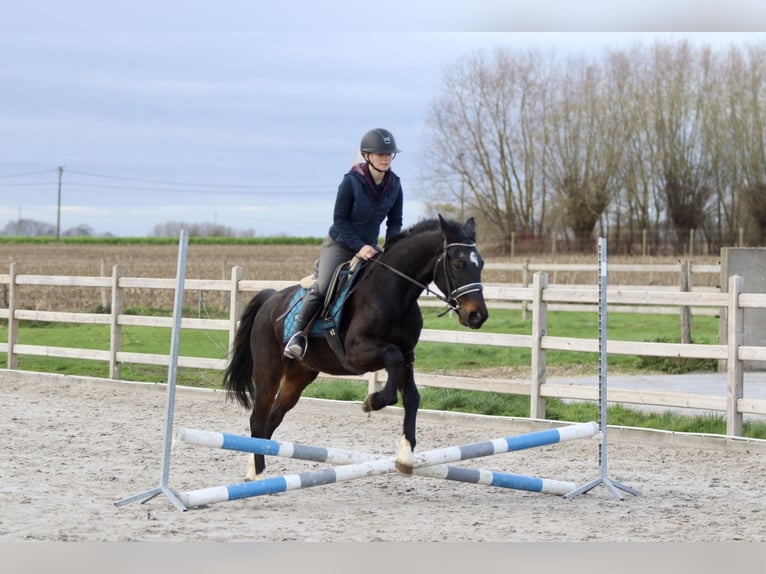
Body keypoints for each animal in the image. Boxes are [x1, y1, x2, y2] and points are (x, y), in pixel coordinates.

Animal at [223, 215, 489, 480]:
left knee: (272, 418)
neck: (393, 291)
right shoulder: (357, 352)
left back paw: (255, 468)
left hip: (299, 375)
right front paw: (372, 401)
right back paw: (257, 474)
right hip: (269, 371)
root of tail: (269, 300)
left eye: (481, 264)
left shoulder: (407, 355)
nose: (478, 316)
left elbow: (412, 397)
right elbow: (391, 361)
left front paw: (405, 456)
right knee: (258, 419)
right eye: (458, 264)